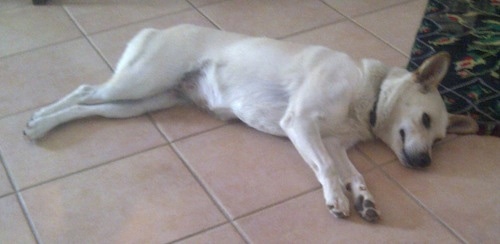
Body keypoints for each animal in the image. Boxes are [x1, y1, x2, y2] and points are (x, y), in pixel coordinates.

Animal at [22, 25, 476, 223]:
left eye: (439, 139)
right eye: (424, 119)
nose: (425, 164)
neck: (368, 92)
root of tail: (157, 27)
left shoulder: (334, 143)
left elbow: (354, 172)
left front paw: (363, 198)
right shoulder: (301, 124)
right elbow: (328, 171)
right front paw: (337, 199)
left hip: (139, 102)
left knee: (90, 107)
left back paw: (45, 124)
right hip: (138, 83)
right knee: (84, 91)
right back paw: (37, 123)